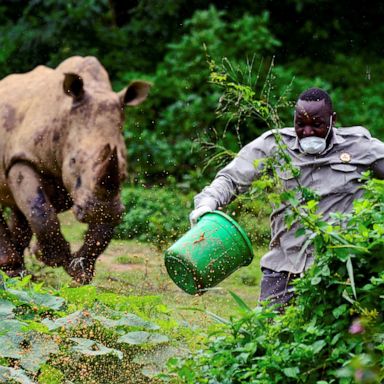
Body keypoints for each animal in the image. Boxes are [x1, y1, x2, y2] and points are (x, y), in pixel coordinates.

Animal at [0, 55, 152, 282]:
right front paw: (52, 258)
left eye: (125, 170)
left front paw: (79, 271)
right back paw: (14, 272)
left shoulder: (109, 191)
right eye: (72, 161)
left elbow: (104, 228)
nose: (98, 209)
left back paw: (18, 274)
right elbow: (40, 209)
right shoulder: (23, 158)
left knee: (19, 209)